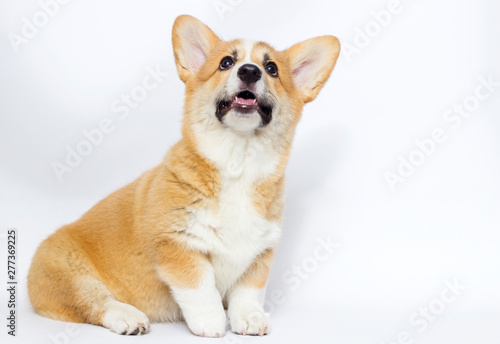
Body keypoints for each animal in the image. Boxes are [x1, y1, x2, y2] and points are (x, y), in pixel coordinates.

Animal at [26, 15, 340, 336]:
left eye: (272, 68)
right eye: (226, 63)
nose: (250, 71)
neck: (238, 160)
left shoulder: (259, 253)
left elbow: (249, 292)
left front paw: (250, 318)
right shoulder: (177, 245)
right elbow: (200, 287)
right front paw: (211, 323)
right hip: (68, 274)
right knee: (94, 301)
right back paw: (127, 316)